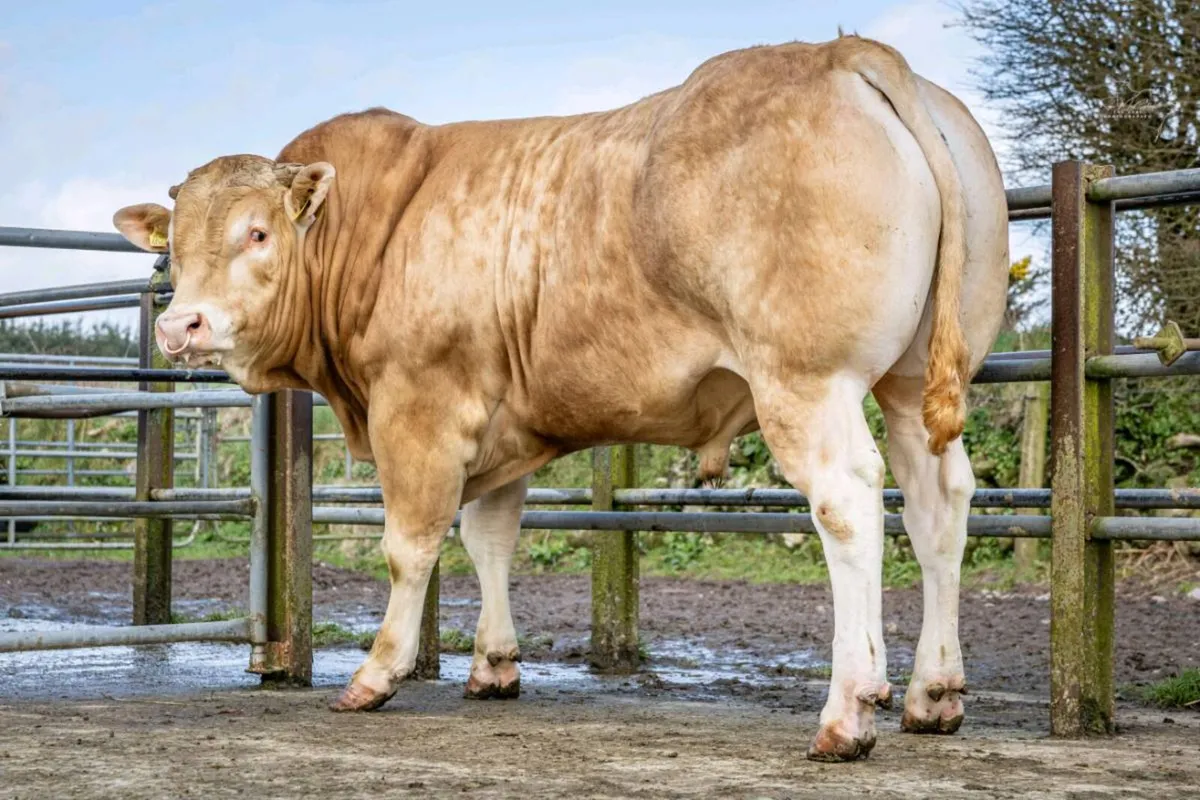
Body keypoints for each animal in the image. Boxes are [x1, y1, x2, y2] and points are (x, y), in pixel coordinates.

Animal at [113, 35, 1008, 761]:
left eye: (258, 232)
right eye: (174, 247)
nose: (181, 324)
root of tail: (843, 53)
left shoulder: (419, 407)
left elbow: (411, 545)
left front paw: (377, 672)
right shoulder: (501, 424)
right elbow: (490, 538)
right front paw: (493, 665)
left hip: (808, 380)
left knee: (849, 504)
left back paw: (848, 711)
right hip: (910, 384)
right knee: (939, 507)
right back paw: (933, 693)